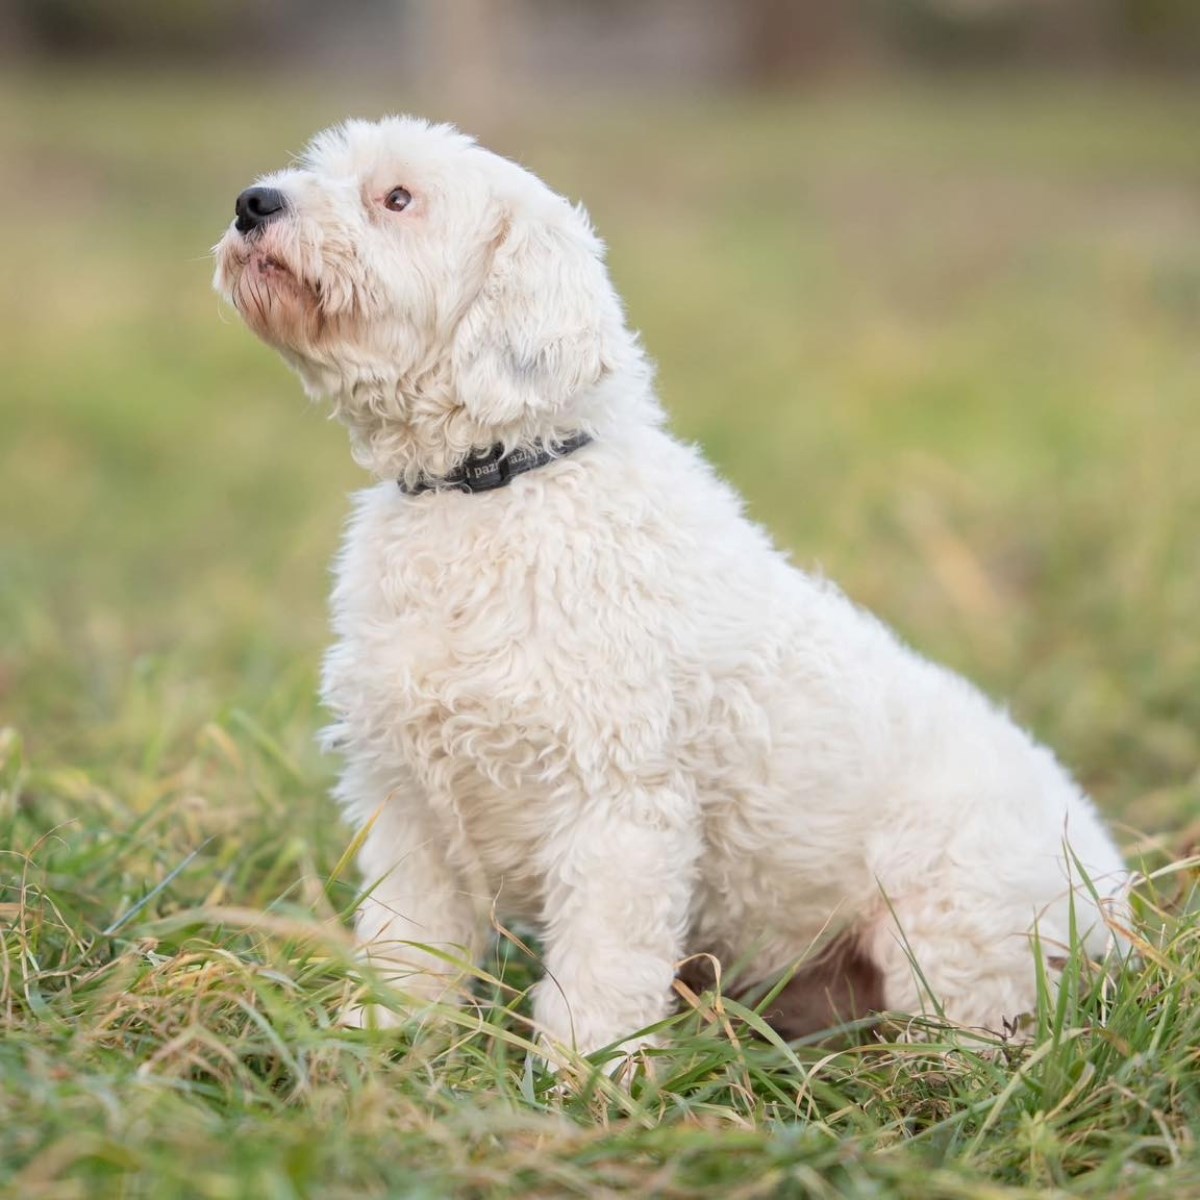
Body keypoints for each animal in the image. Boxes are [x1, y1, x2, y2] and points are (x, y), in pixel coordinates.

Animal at [213, 117, 1123, 1056]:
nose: (253, 202)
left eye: (397, 198)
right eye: (317, 169)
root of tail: (1116, 911)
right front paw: (379, 1045)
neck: (492, 486)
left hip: (955, 936)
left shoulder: (617, 808)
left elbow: (600, 976)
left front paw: (584, 1075)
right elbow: (405, 951)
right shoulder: (408, 809)